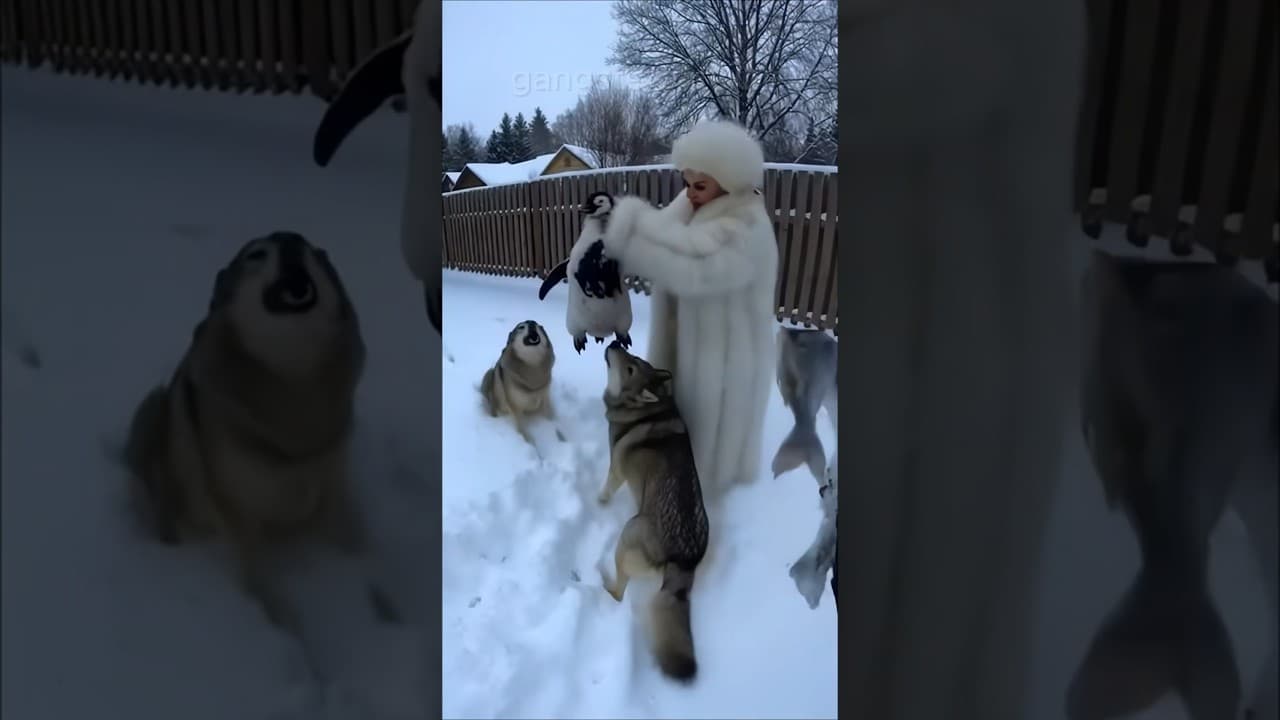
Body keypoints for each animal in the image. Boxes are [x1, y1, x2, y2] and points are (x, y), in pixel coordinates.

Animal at [597, 341, 710, 682]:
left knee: (619, 593)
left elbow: (605, 491)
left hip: (626, 536)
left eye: (630, 367)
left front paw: (595, 501)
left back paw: (602, 584)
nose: (615, 342)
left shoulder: (616, 469)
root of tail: (684, 559)